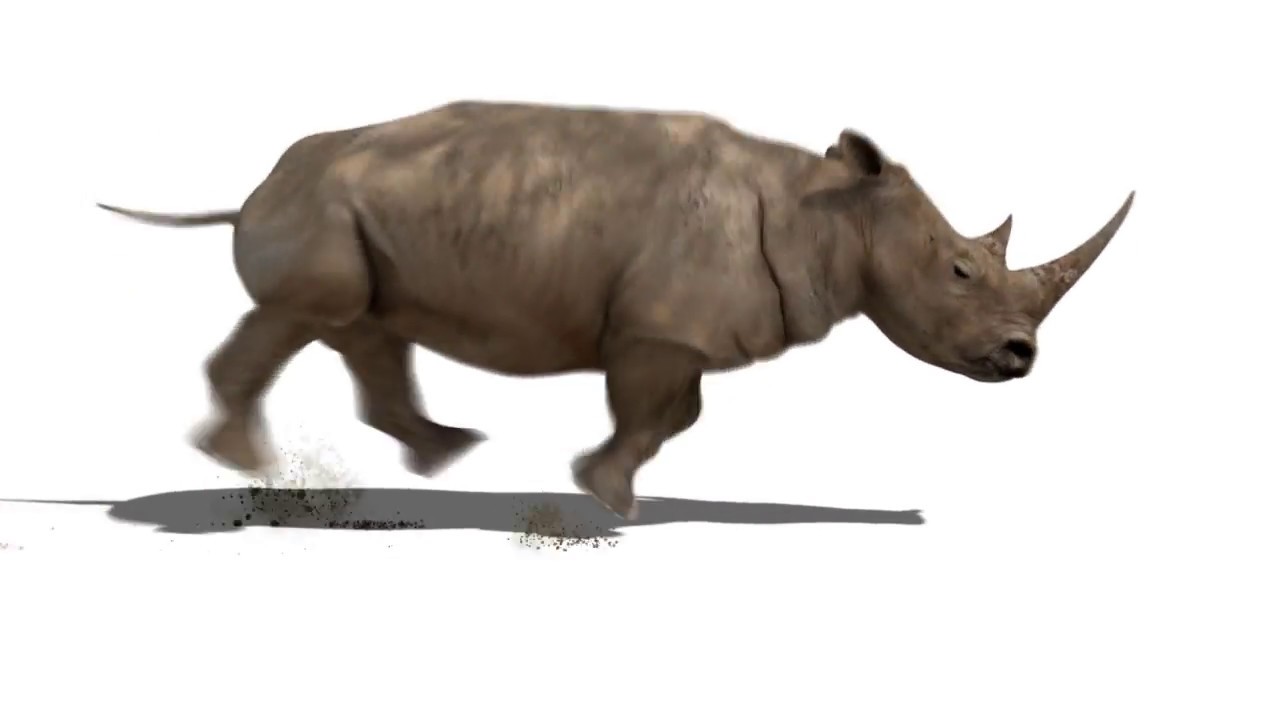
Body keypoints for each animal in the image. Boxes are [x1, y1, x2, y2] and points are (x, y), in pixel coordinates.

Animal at [98, 100, 1134, 520]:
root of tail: (254, 186)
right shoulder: (661, 326)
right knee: (314, 312)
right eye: (960, 270)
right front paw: (610, 498)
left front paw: (605, 484)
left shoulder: (675, 328)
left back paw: (443, 455)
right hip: (319, 205)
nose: (1022, 356)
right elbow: (650, 412)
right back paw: (248, 466)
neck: (830, 209)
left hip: (356, 207)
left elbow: (678, 415)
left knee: (363, 324)